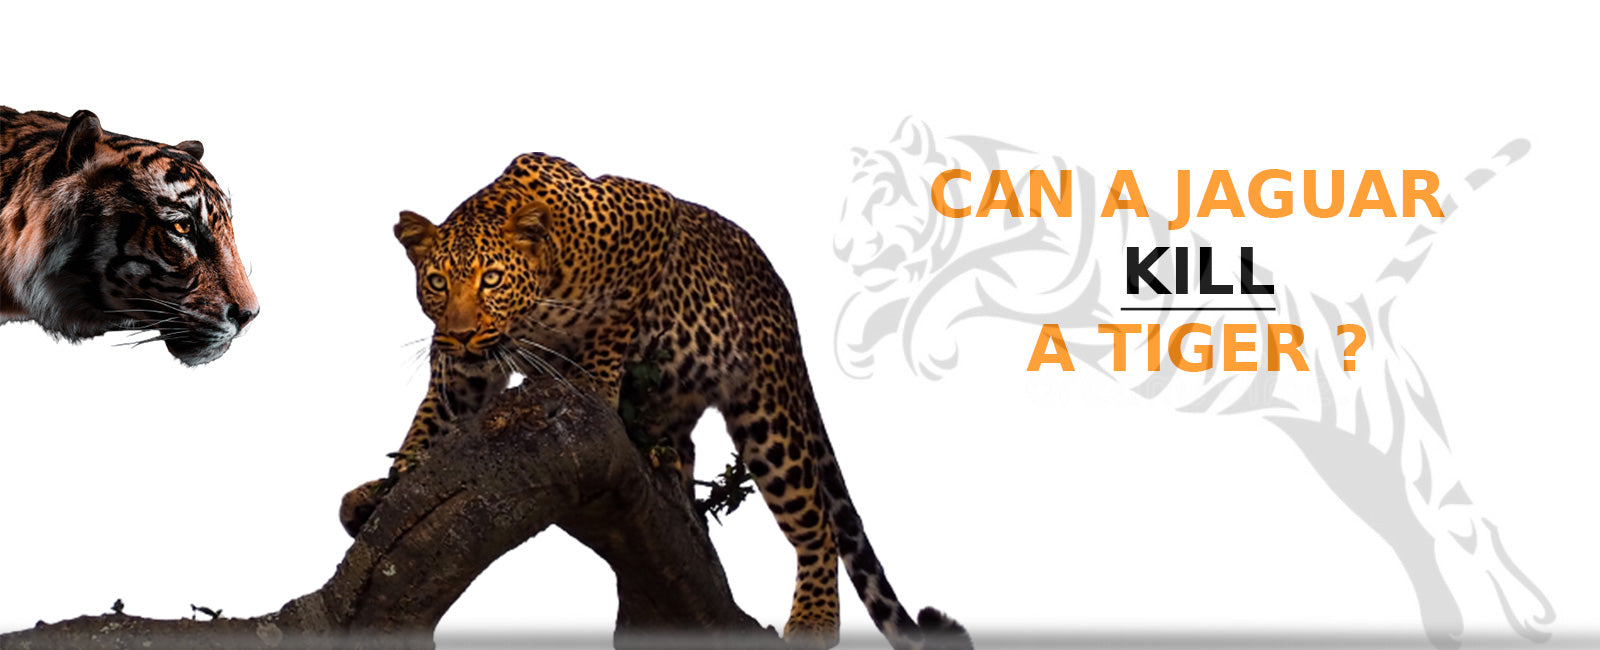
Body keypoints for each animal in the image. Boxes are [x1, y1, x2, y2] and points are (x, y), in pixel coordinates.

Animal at [339, 152, 970, 650]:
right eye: (437, 283)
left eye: (491, 279)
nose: (462, 333)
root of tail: (780, 292)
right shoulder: (462, 375)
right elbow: (429, 428)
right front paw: (386, 489)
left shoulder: (651, 219)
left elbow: (613, 321)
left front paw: (593, 381)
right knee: (685, 455)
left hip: (767, 408)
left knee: (814, 515)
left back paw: (815, 618)